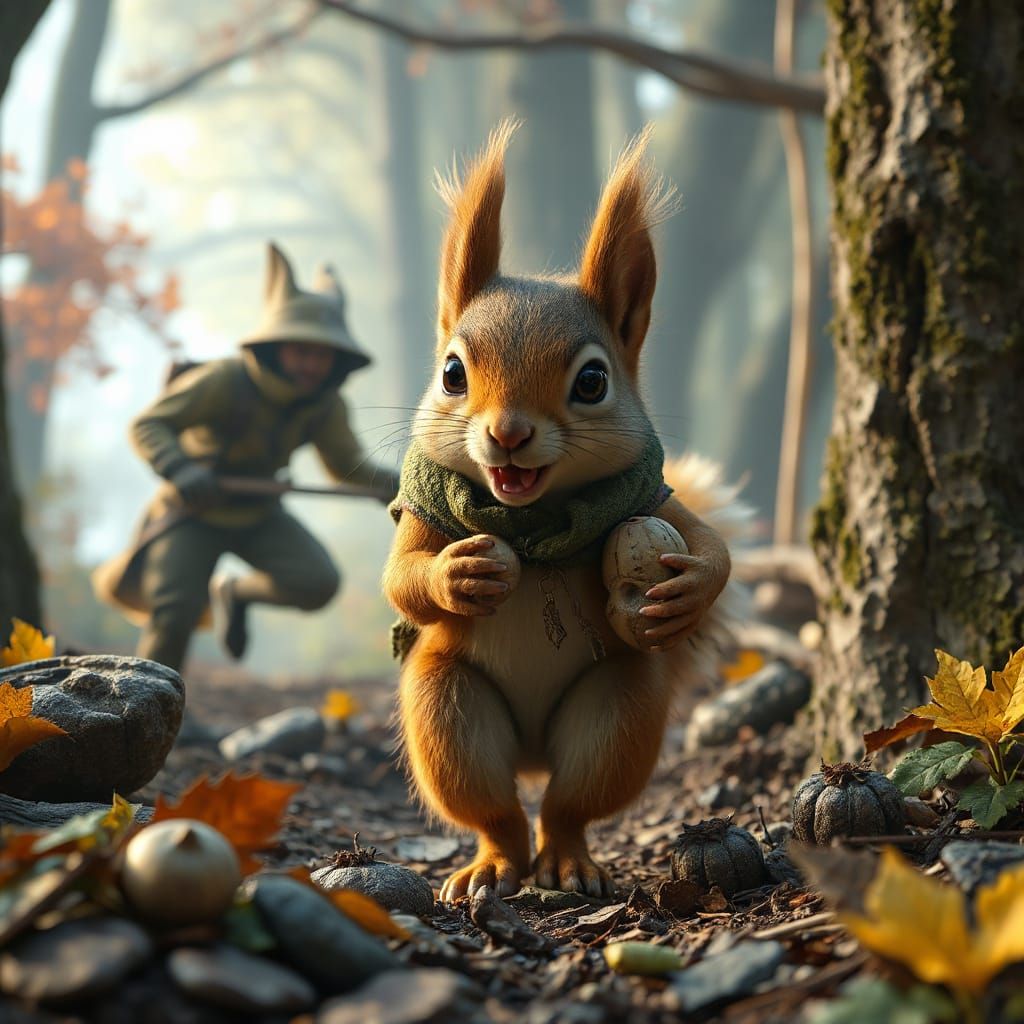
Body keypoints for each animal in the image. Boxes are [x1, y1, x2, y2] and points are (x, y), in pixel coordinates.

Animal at [383, 121, 743, 901]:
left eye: (593, 381)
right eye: (451, 372)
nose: (509, 433)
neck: (531, 517)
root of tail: (532, 756)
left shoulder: (649, 496)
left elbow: (710, 547)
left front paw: (688, 591)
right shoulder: (424, 503)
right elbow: (400, 577)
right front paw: (457, 575)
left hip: (617, 712)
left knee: (567, 808)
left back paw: (569, 861)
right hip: (448, 710)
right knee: (496, 814)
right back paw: (491, 867)